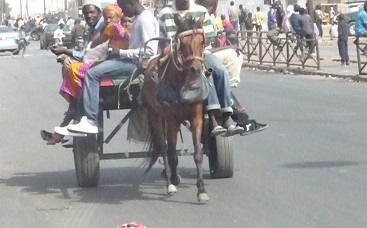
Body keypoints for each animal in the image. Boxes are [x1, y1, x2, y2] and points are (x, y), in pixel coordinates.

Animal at [141, 12, 210, 203]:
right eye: (182, 43)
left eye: (202, 41)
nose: (196, 69)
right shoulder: (172, 119)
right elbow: (170, 151)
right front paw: (171, 180)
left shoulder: (196, 118)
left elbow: (198, 153)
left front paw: (201, 190)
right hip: (156, 115)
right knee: (164, 148)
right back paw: (170, 180)